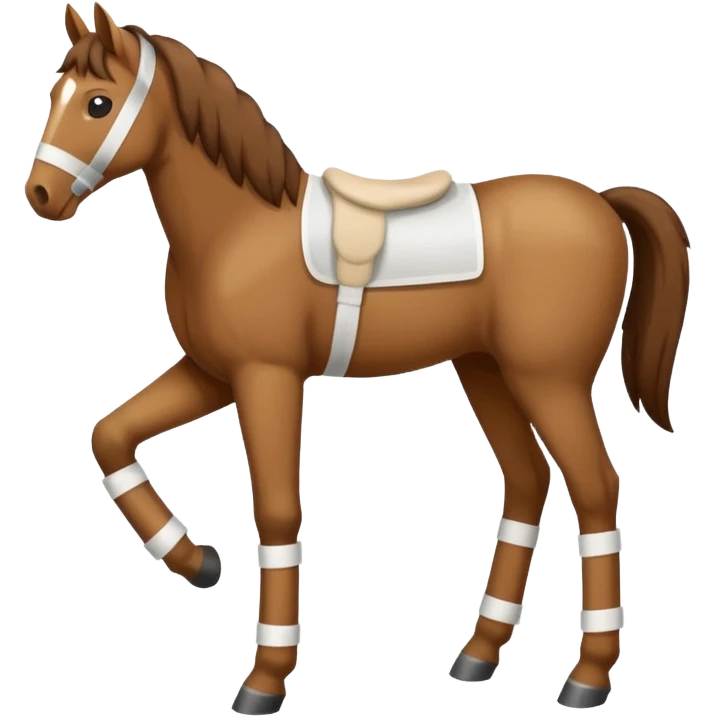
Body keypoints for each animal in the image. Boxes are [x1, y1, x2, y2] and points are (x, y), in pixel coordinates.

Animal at [26, 3, 691, 714]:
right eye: (56, 93)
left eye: (98, 103)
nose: (40, 194)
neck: (237, 228)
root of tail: (602, 202)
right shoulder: (211, 374)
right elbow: (110, 433)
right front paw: (199, 562)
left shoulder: (267, 378)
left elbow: (278, 512)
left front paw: (264, 679)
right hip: (485, 371)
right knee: (527, 480)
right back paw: (479, 653)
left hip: (550, 381)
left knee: (595, 487)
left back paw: (588, 675)